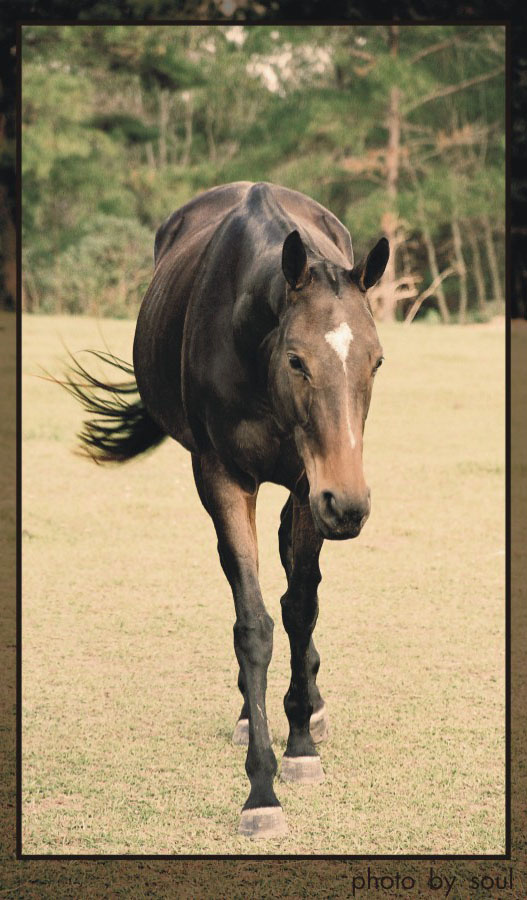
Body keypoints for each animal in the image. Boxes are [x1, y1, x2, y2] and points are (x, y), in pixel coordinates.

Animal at [66, 181, 388, 839]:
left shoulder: (308, 482)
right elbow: (254, 625)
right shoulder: (223, 478)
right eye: (297, 360)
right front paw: (261, 790)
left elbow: (300, 608)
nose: (349, 506)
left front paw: (299, 744)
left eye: (375, 361)